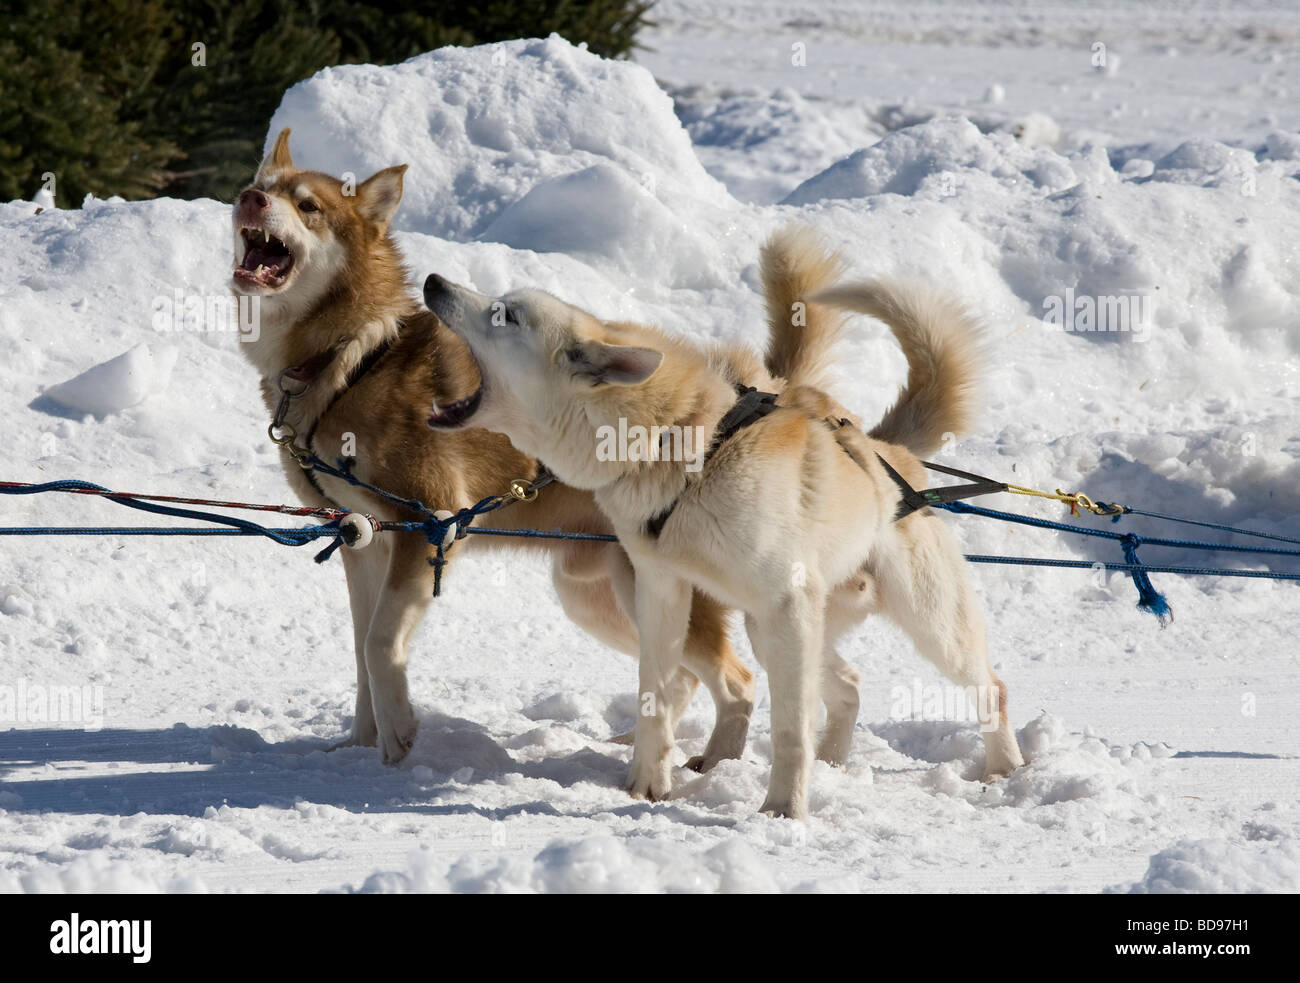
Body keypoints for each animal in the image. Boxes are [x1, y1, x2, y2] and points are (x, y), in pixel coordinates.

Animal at [228, 126, 748, 764]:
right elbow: (359, 649)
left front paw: (398, 735)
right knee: (681, 676)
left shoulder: (428, 525)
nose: (250, 200)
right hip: (601, 594)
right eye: (262, 186)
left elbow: (378, 644)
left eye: (307, 206)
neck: (352, 357)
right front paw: (360, 745)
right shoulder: (363, 540)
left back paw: (720, 765)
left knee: (736, 682)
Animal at [423, 226, 1024, 816]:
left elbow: (789, 728)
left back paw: (1004, 770)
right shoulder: (661, 593)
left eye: (505, 314)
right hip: (772, 626)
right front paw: (645, 786)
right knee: (849, 685)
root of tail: (891, 455)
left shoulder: (786, 603)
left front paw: (784, 810)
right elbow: (654, 698)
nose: (432, 281)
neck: (684, 445)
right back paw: (829, 762)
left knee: (990, 687)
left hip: (917, 622)